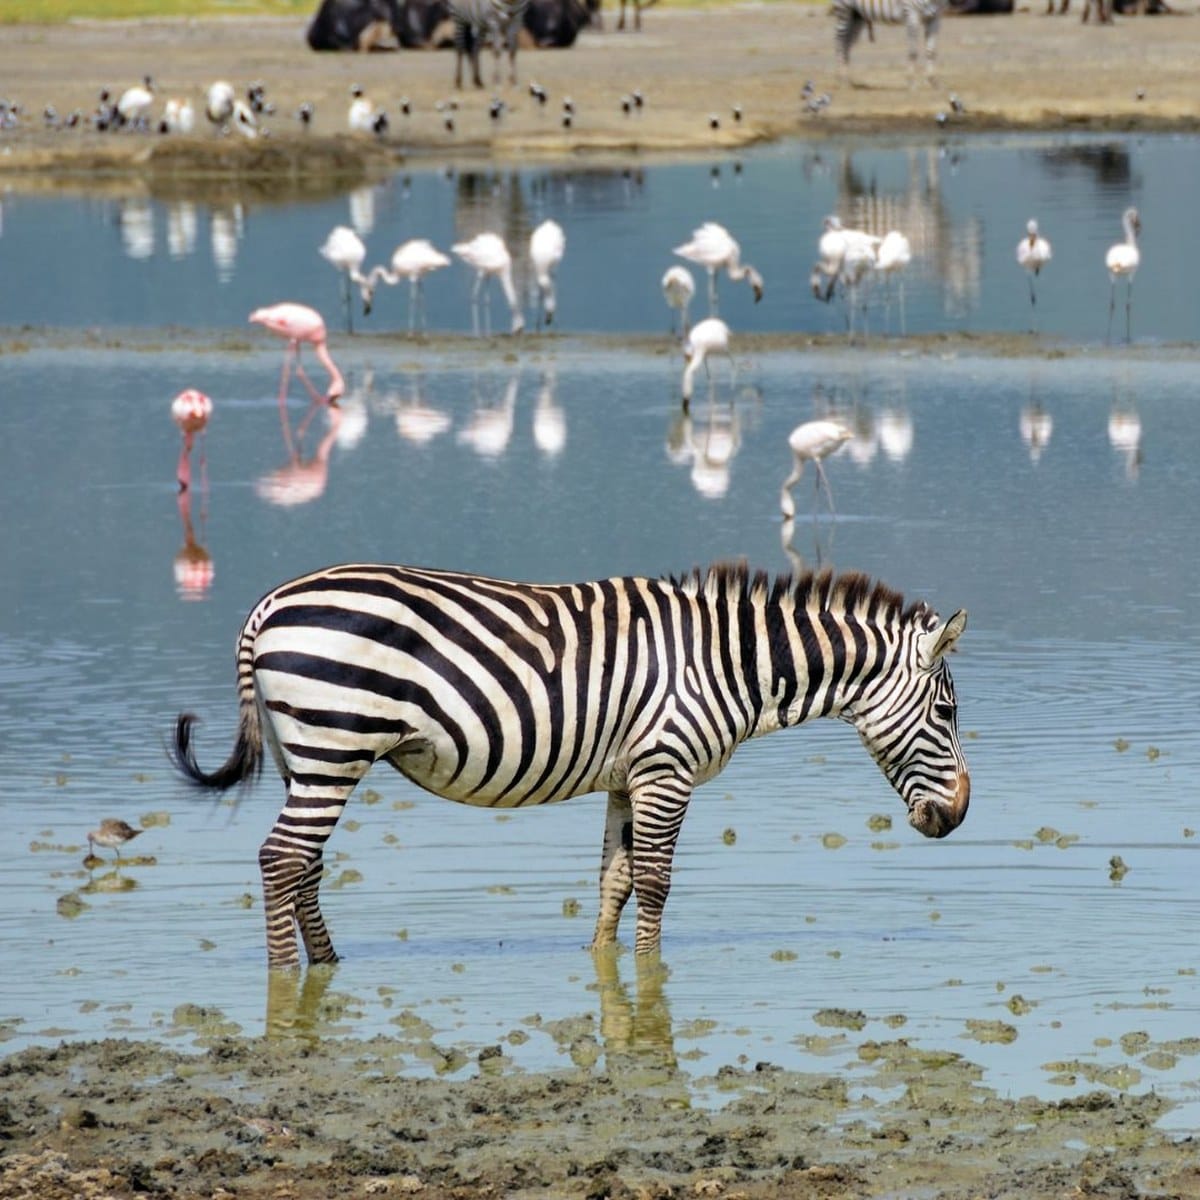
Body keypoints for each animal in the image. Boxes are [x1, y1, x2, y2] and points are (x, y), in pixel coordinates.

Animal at [172, 562, 970, 970]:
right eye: (948, 713)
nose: (959, 816)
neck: (727, 662)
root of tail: (269, 604)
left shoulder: (629, 774)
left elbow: (615, 879)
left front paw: (602, 963)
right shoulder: (667, 767)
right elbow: (656, 882)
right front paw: (650, 976)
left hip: (307, 755)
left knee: (304, 864)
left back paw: (330, 962)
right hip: (335, 743)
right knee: (281, 858)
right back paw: (286, 977)